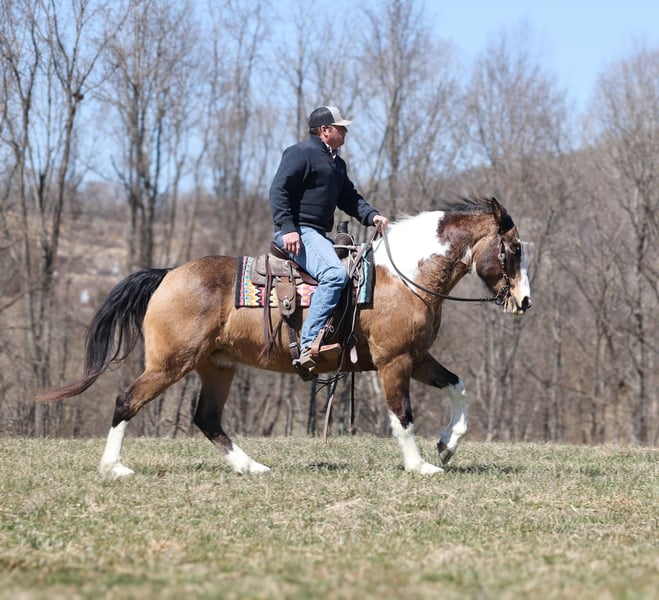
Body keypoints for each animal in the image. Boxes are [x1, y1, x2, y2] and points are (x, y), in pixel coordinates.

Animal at [35, 196, 531, 478]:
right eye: (513, 249)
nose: (524, 301)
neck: (404, 276)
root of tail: (167, 274)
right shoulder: (394, 361)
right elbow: (402, 415)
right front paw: (421, 465)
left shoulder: (418, 356)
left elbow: (459, 387)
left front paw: (447, 446)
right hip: (169, 364)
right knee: (127, 401)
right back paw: (114, 467)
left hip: (216, 367)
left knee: (207, 419)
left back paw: (252, 466)